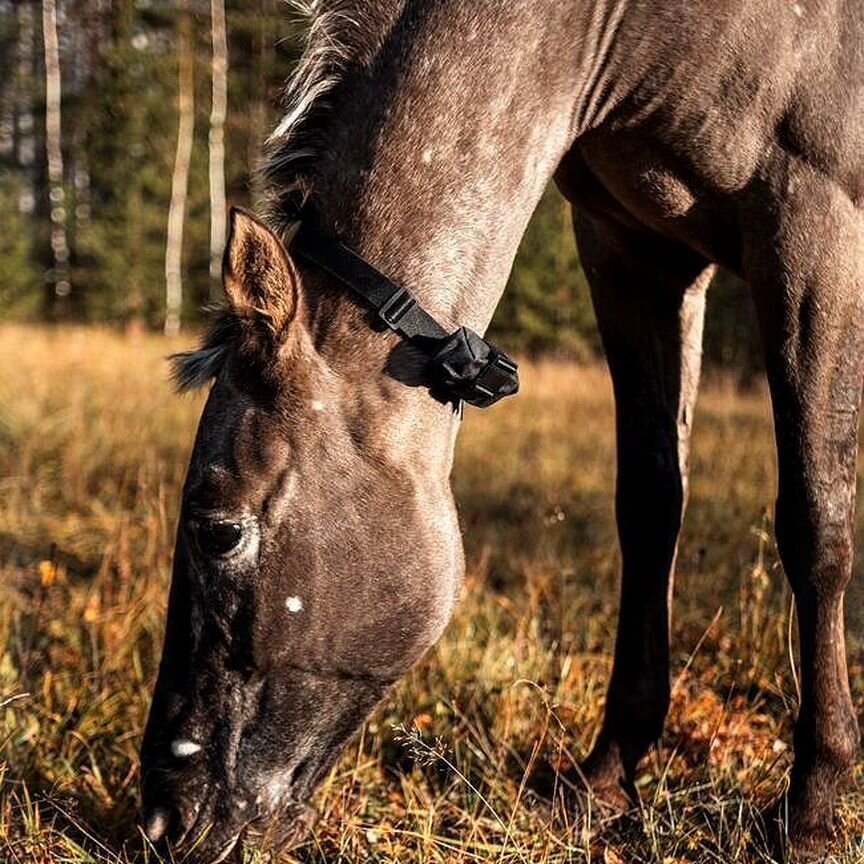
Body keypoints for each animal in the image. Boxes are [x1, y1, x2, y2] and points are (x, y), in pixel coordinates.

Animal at [138, 3, 860, 860]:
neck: (622, 35)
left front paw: (810, 807)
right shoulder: (632, 253)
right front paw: (606, 778)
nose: (161, 817)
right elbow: (650, 509)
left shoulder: (818, 230)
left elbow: (816, 526)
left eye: (219, 532)